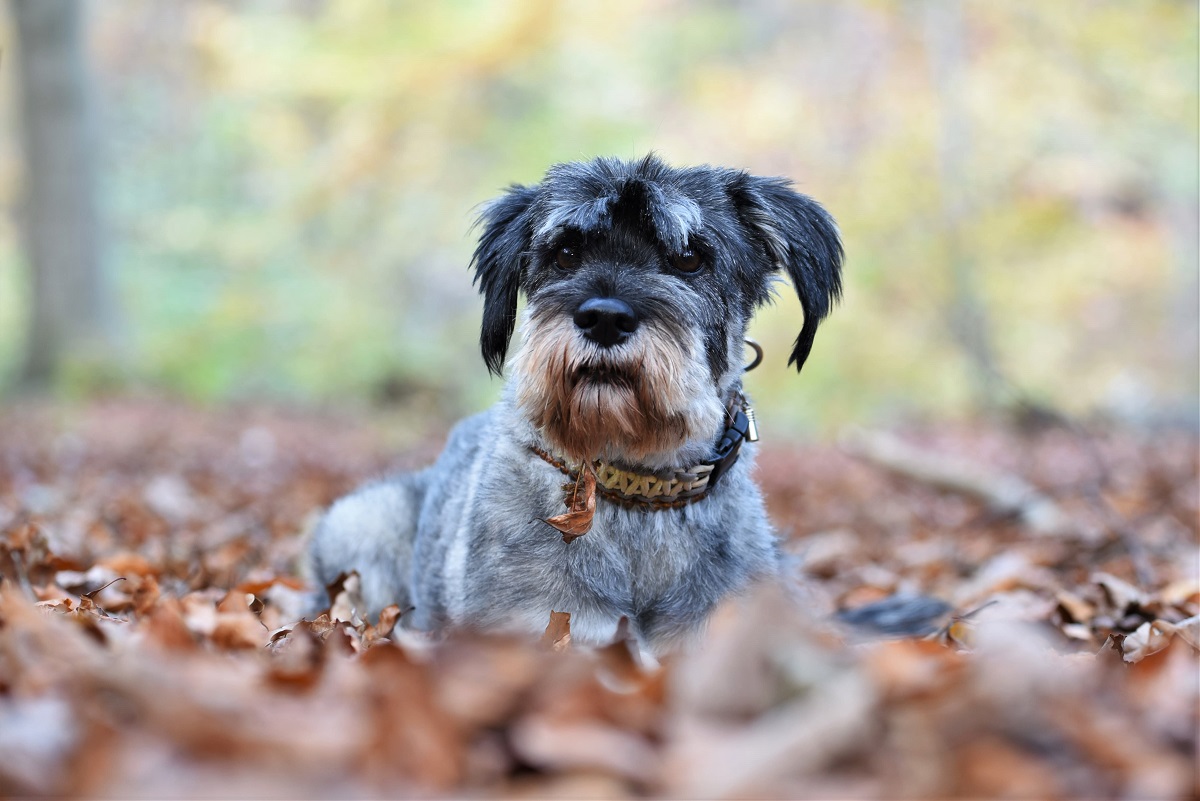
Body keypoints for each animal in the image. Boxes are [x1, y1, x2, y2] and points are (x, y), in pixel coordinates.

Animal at [309, 153, 844, 652]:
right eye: (566, 252)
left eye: (690, 257)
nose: (604, 318)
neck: (637, 494)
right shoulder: (545, 622)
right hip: (360, 522)